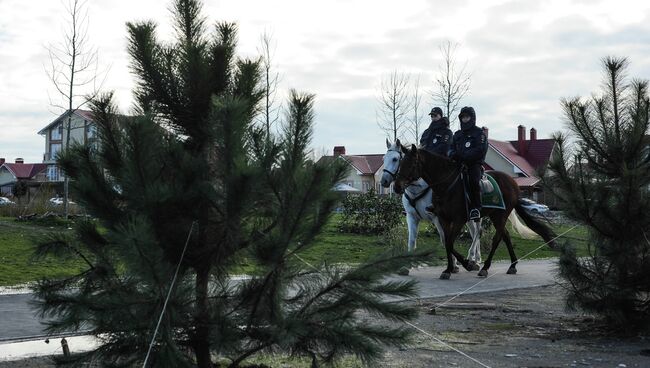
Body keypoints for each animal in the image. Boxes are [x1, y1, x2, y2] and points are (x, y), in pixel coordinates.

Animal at [378, 139, 478, 274]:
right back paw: (476, 259)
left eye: (395, 159)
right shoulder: (411, 217)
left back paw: (473, 258)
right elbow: (412, 241)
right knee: (474, 233)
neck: (417, 189)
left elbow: (445, 240)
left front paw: (454, 265)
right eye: (384, 158)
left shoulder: (437, 218)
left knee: (477, 233)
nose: (384, 181)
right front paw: (407, 266)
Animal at [392, 144, 556, 278]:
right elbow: (447, 243)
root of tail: (512, 182)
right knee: (505, 235)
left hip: (500, 215)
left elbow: (450, 242)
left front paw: (467, 264)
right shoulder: (443, 219)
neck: (447, 185)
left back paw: (485, 268)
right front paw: (449, 269)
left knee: (497, 238)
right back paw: (512, 265)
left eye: (412, 163)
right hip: (496, 216)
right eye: (400, 162)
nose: (397, 186)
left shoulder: (459, 220)